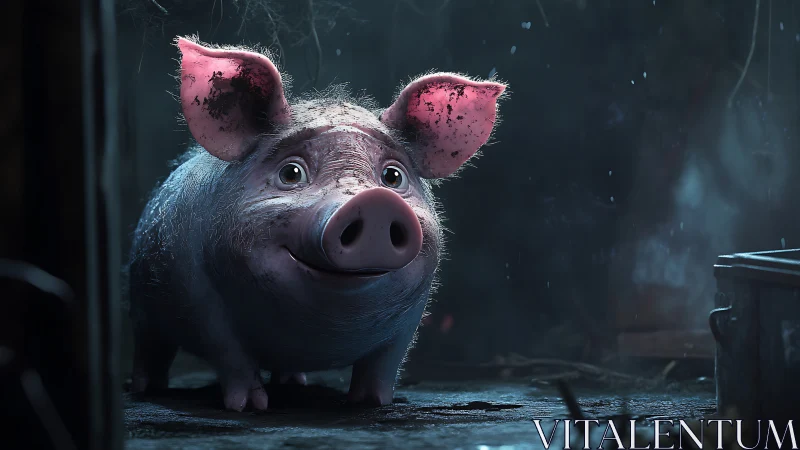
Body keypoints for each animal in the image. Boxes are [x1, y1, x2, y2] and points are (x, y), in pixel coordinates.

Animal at [127, 35, 507, 411]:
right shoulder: (203, 300)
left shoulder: (409, 321)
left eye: (393, 177)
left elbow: (383, 365)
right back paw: (147, 390)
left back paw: (295, 383)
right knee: (149, 348)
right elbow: (232, 358)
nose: (375, 201)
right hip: (141, 304)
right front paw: (250, 407)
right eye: (291, 172)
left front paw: (373, 404)